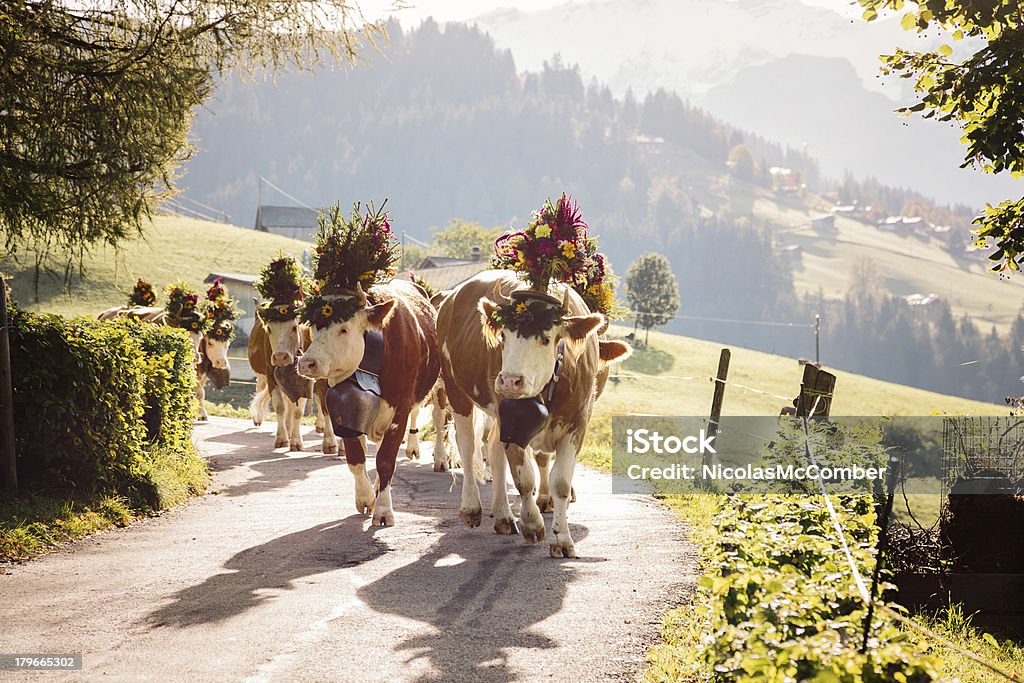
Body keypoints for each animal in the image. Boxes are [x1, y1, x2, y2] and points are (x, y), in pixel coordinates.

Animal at [296, 200, 440, 528]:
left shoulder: (401, 407)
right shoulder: (345, 407)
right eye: (314, 324)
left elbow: (386, 460)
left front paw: (384, 510)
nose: (307, 363)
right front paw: (364, 498)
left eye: (344, 328)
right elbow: (356, 458)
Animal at [436, 194, 626, 557]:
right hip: (456, 391)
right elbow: (524, 478)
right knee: (468, 446)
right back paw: (473, 508)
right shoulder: (513, 422)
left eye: (547, 338)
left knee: (493, 451)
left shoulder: (577, 422)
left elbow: (560, 482)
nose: (510, 380)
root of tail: (452, 296)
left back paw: (502, 515)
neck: (550, 385)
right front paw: (534, 524)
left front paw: (561, 538)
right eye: (504, 336)